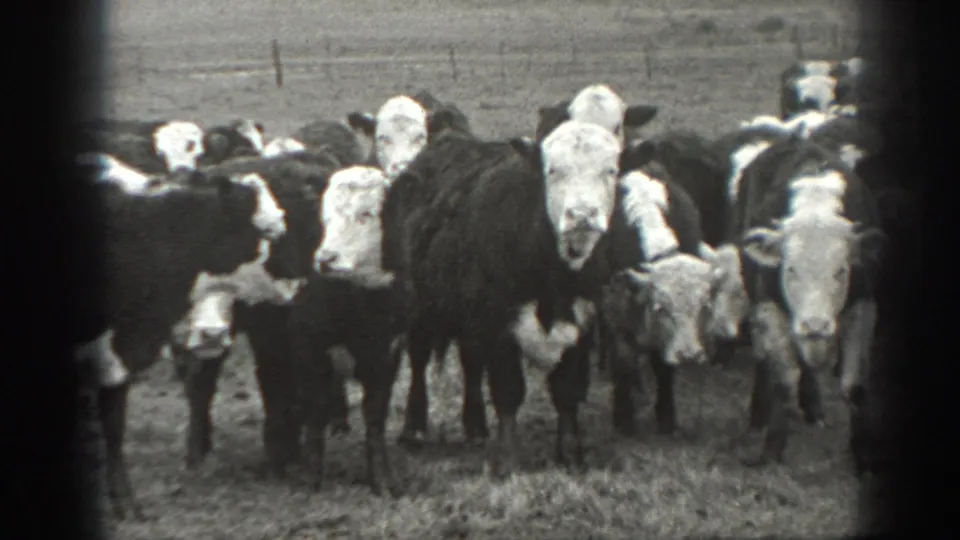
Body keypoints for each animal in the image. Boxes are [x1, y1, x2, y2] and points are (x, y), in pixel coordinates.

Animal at [731, 135, 885, 467]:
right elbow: (783, 379)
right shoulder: (768, 306)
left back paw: (814, 409)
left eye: (841, 270)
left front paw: (862, 455)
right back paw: (759, 417)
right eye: (791, 269)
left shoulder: (863, 306)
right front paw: (772, 448)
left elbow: (854, 385)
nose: (815, 325)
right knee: (765, 358)